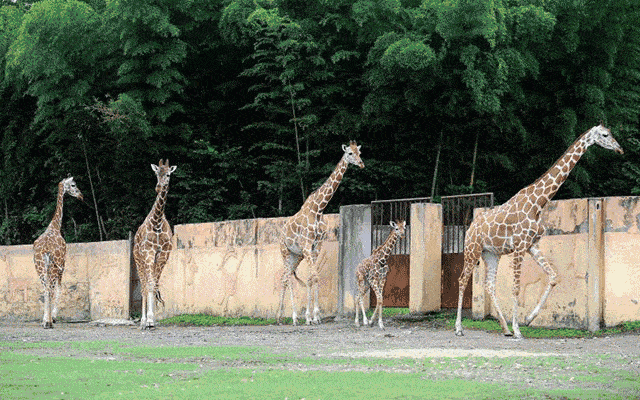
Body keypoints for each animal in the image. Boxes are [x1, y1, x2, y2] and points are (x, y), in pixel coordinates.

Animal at [33, 177, 84, 328]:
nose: (81, 196)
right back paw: (49, 322)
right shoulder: (63, 264)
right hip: (54, 267)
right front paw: (53, 317)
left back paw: (46, 321)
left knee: (46, 288)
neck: (55, 226)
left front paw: (46, 318)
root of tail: (45, 250)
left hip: (40, 267)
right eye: (73, 185)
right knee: (51, 288)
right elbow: (59, 288)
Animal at [132, 159, 176, 332]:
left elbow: (155, 283)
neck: (157, 222)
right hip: (139, 260)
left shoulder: (163, 255)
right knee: (144, 286)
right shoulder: (149, 253)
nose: (158, 187)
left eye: (168, 174)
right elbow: (149, 285)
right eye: (157, 173)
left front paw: (154, 320)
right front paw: (149, 320)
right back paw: (142, 321)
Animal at [276, 141, 364, 324]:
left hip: (296, 255)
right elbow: (314, 277)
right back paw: (292, 317)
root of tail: (280, 234)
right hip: (285, 252)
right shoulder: (307, 245)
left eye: (359, 152)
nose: (361, 164)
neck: (319, 209)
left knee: (284, 277)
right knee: (287, 278)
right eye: (350, 153)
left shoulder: (316, 246)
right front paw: (311, 317)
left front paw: (314, 316)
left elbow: (312, 278)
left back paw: (281, 317)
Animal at [456, 124, 624, 338]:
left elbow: (553, 276)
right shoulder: (519, 246)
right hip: (472, 250)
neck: (538, 203)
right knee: (462, 280)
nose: (620, 149)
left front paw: (528, 319)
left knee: (489, 284)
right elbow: (516, 287)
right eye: (605, 135)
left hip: (491, 254)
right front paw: (518, 329)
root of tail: (469, 227)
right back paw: (459, 328)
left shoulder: (531, 245)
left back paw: (504, 329)